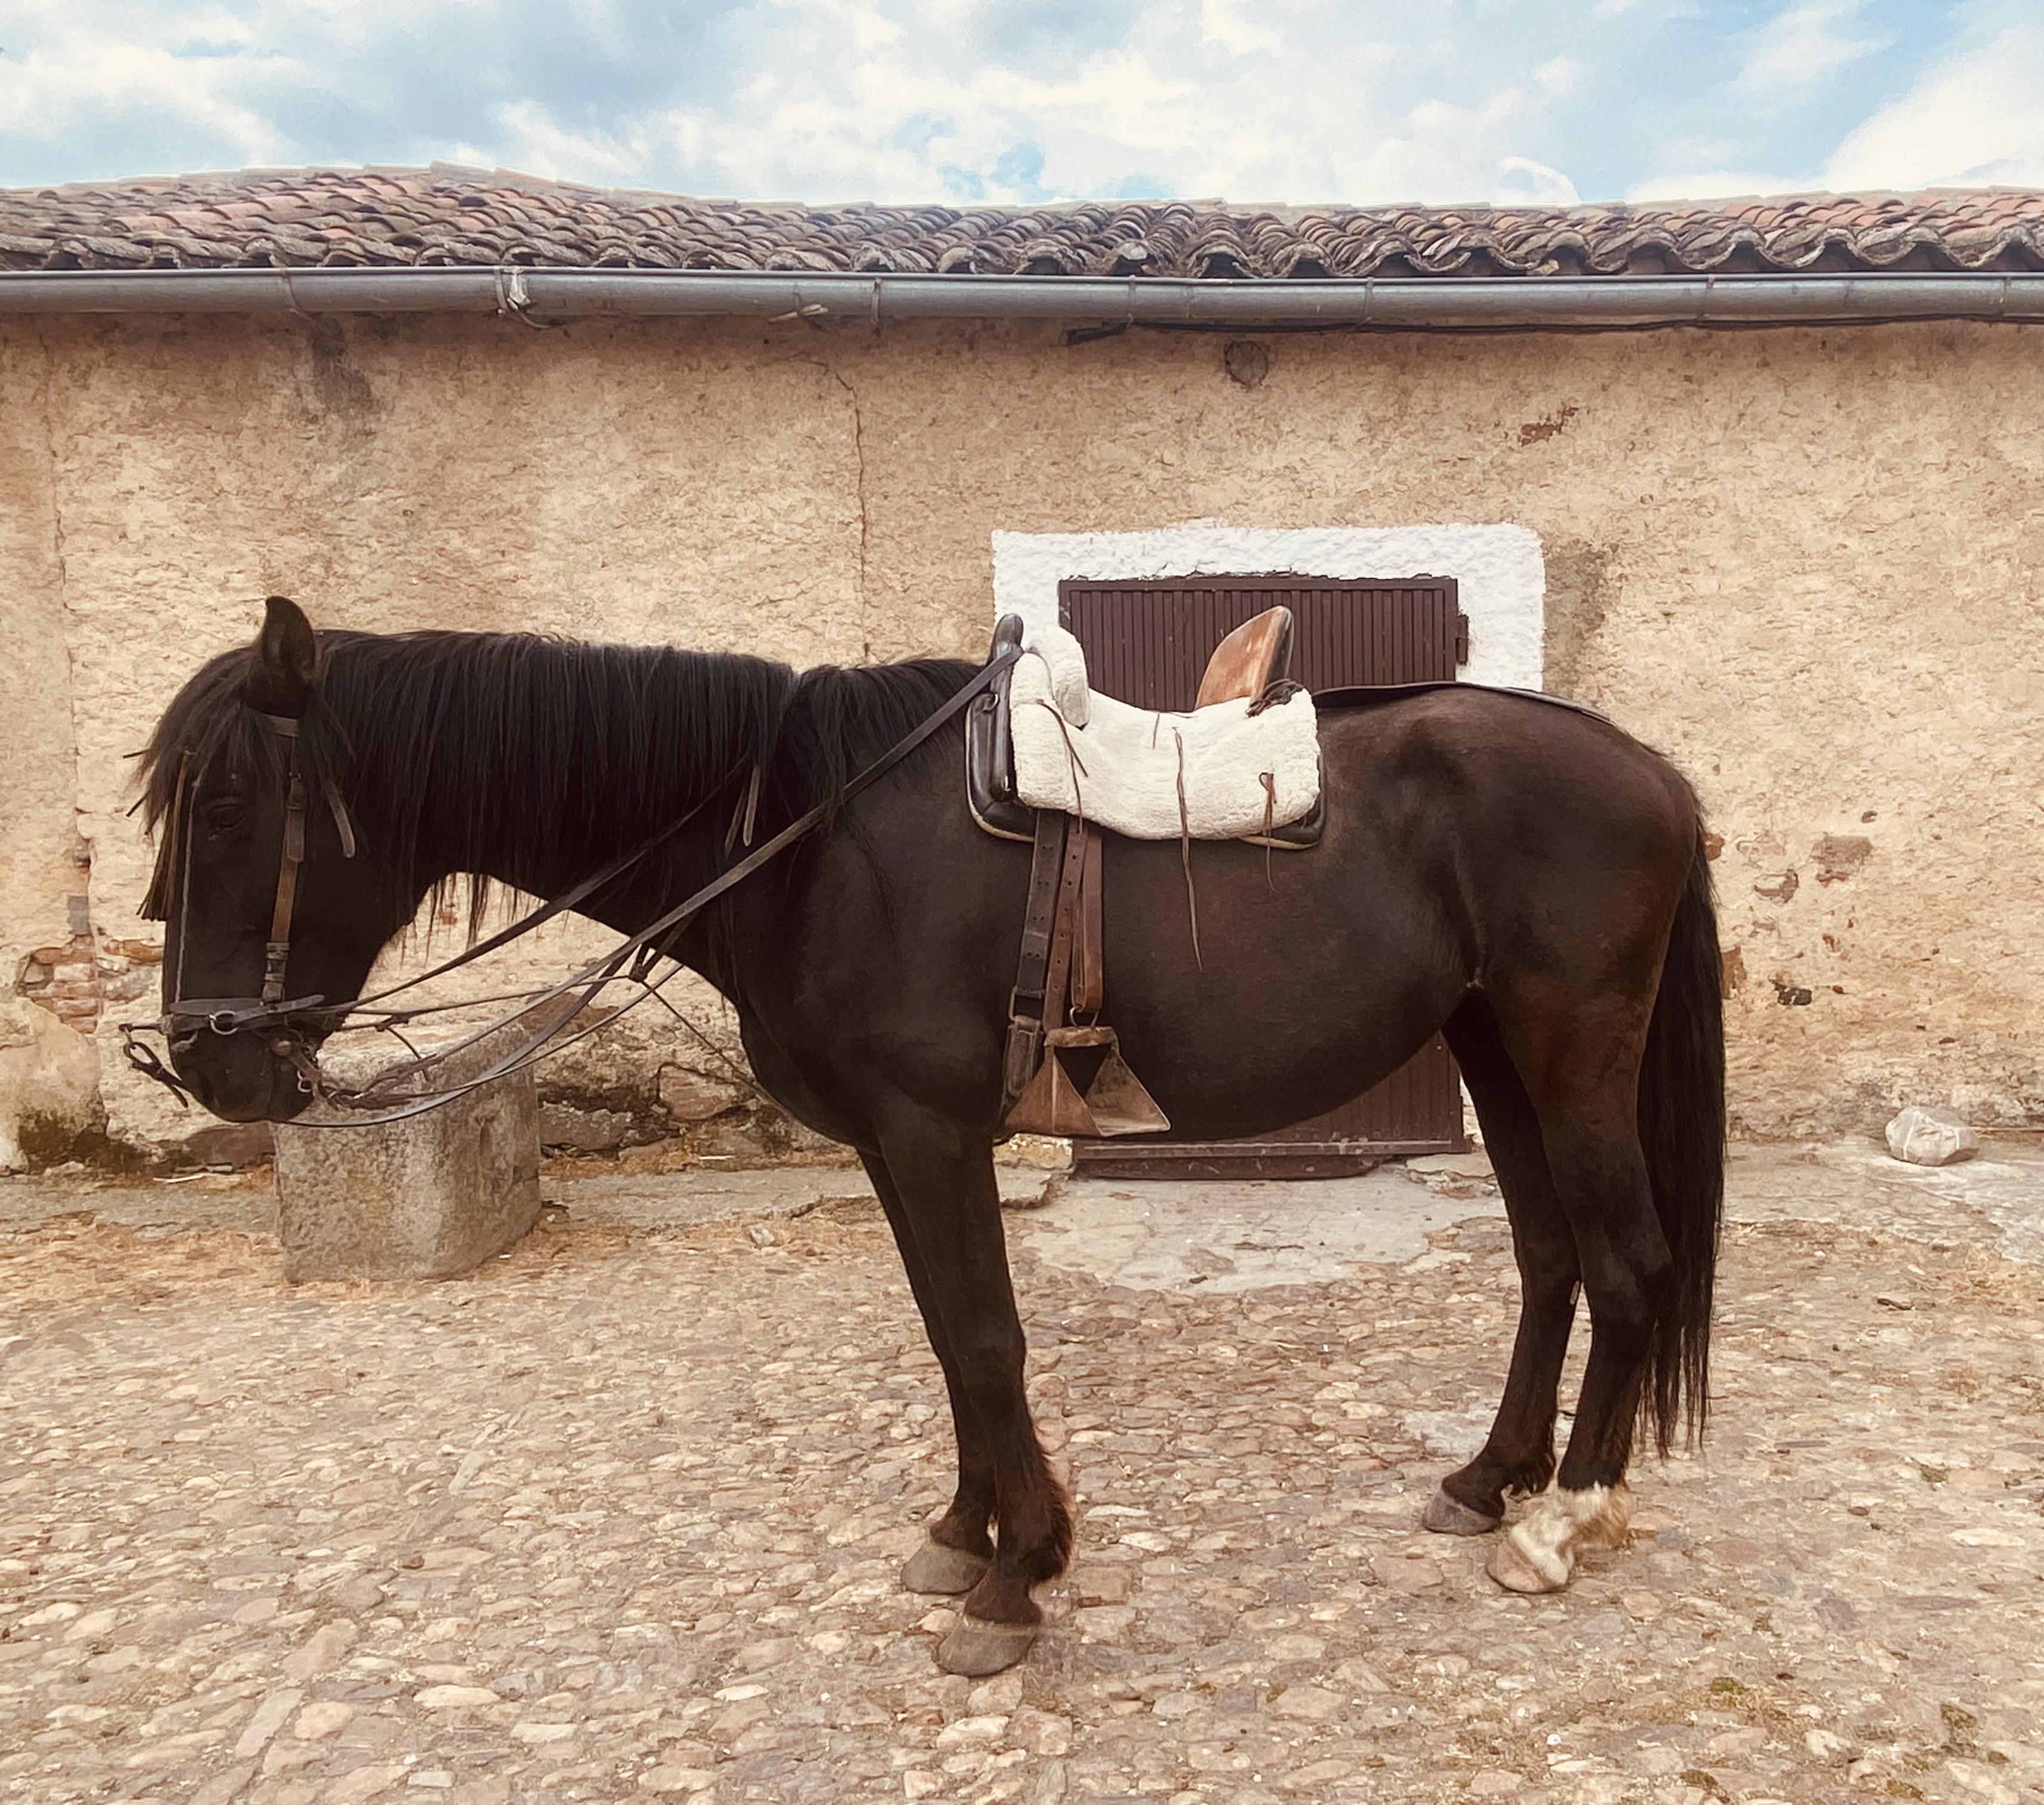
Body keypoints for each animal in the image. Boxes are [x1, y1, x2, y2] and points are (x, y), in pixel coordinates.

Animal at [138, 594, 1724, 1676]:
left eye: (228, 804)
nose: (205, 1062)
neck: (807, 840)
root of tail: (1648, 769)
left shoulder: (930, 1131)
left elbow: (983, 1336)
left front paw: (1018, 1578)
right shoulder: (890, 1145)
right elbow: (945, 1339)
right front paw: (968, 1534)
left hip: (1569, 1046)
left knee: (1626, 1264)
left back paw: (1562, 1521)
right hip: (1492, 1046)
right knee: (1546, 1259)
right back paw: (1487, 1481)